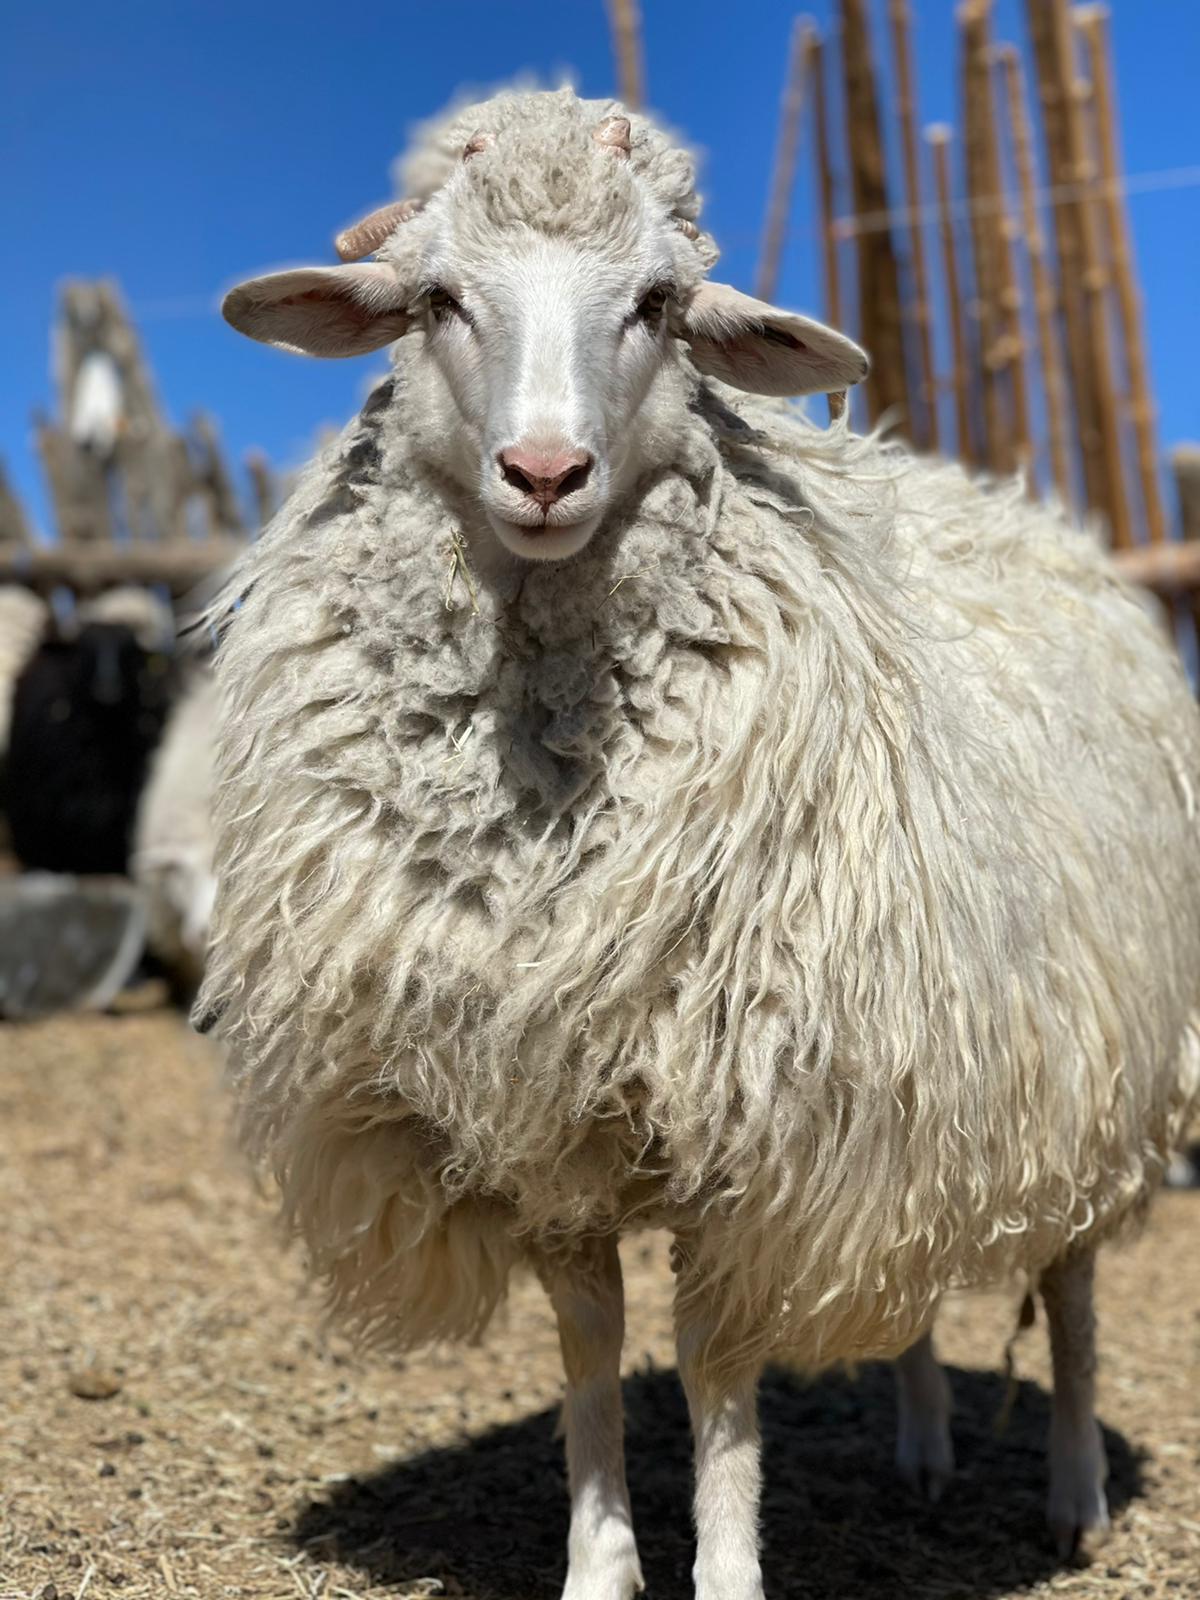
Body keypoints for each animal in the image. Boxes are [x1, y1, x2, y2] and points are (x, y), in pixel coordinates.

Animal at [206, 90, 1200, 1600]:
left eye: (659, 305)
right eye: (436, 300)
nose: (543, 474)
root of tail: (1030, 510)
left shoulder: (755, 1127)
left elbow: (718, 1371)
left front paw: (723, 1568)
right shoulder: (548, 1110)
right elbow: (592, 1351)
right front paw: (597, 1560)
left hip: (1087, 1063)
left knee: (1076, 1290)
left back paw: (1075, 1493)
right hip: (907, 1082)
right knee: (902, 1280)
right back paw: (921, 1449)